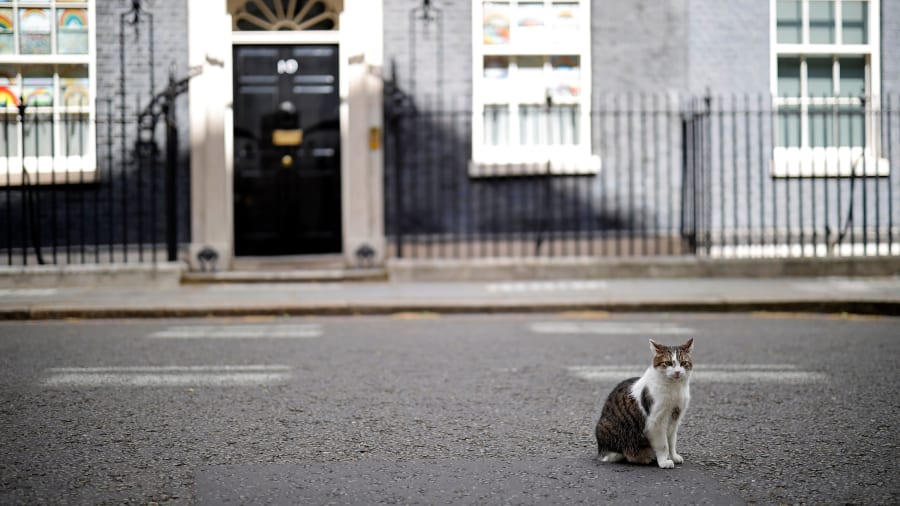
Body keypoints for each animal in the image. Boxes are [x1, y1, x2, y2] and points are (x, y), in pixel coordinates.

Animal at [596, 338, 696, 468]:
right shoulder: (656, 422)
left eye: (683, 363)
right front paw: (664, 462)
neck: (675, 388)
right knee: (616, 454)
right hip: (611, 429)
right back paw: (640, 457)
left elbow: (672, 442)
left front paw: (674, 456)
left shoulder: (675, 419)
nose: (678, 372)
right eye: (668, 363)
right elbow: (663, 445)